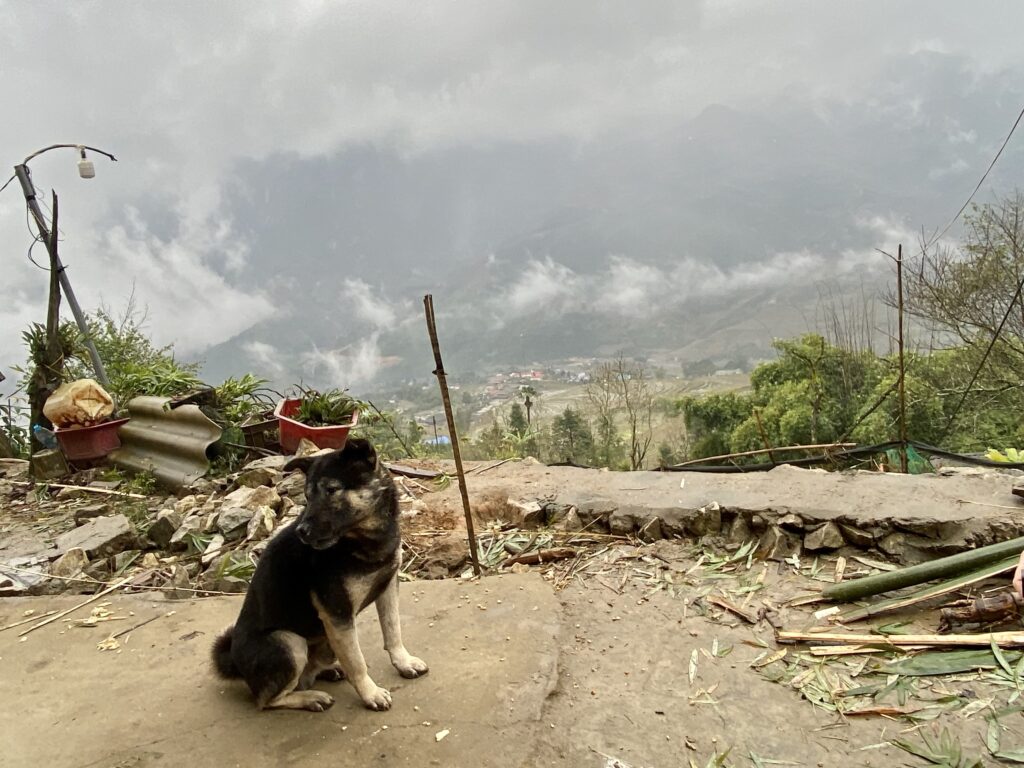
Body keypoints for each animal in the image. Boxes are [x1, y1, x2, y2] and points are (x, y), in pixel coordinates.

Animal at [211, 442, 428, 712]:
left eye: (331, 490)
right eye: (307, 496)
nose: (302, 531)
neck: (363, 539)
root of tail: (236, 664)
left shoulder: (388, 587)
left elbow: (393, 630)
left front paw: (403, 662)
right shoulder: (337, 614)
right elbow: (356, 661)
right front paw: (370, 694)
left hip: (323, 642)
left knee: (309, 672)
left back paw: (327, 672)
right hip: (290, 641)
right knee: (268, 700)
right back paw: (311, 697)